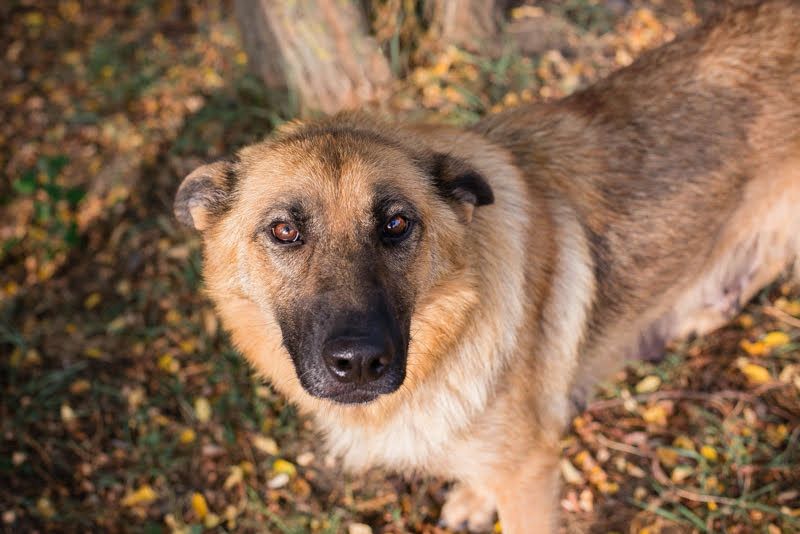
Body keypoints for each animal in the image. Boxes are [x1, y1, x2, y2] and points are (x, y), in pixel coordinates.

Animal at [174, 2, 800, 531]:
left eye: (396, 224)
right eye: (285, 230)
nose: (359, 364)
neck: (450, 330)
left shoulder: (531, 477)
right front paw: (475, 497)